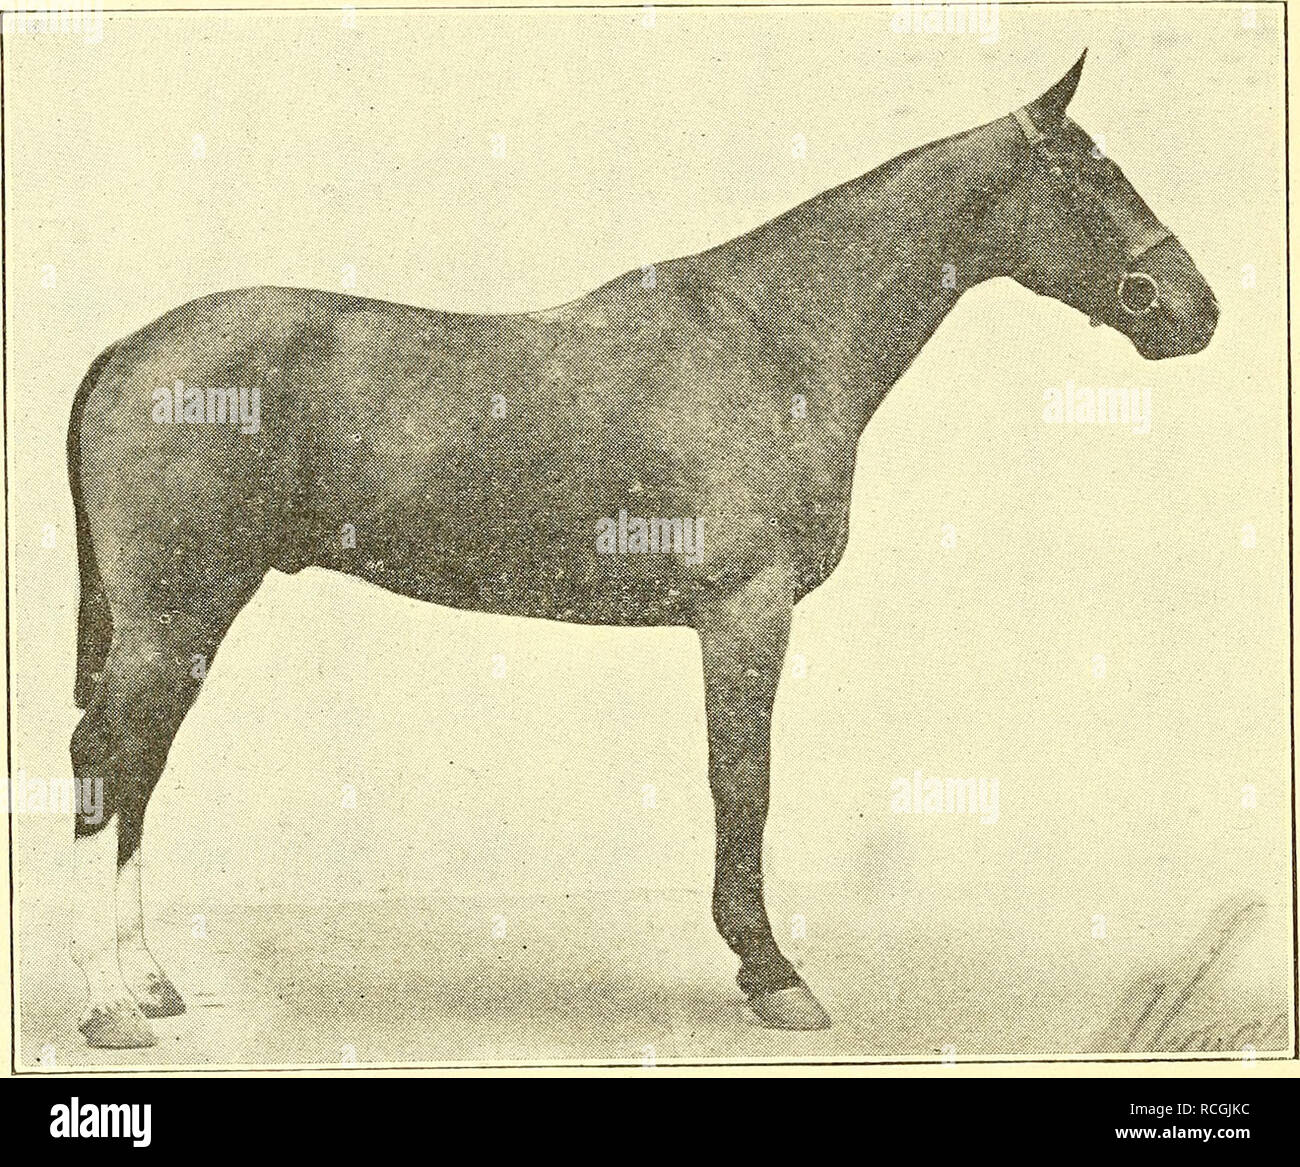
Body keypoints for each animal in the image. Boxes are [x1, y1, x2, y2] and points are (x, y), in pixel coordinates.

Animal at [63, 52, 1217, 1049]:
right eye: (1094, 174)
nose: (1194, 311)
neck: (775, 341)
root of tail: (129, 346)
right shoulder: (747, 609)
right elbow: (742, 781)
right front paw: (771, 973)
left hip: (186, 622)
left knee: (139, 768)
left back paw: (150, 982)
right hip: (175, 616)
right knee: (103, 758)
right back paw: (108, 1004)